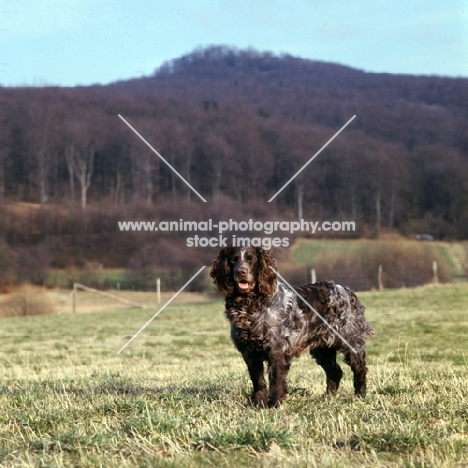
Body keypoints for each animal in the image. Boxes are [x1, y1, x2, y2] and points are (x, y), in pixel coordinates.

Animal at [210, 247, 374, 408]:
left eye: (251, 260)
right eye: (234, 260)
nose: (241, 272)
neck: (250, 305)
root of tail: (348, 292)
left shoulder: (277, 350)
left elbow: (276, 379)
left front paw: (273, 403)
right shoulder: (249, 352)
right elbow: (258, 381)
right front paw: (257, 402)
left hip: (351, 343)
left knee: (360, 370)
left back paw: (360, 396)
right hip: (322, 349)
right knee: (335, 371)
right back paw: (328, 397)